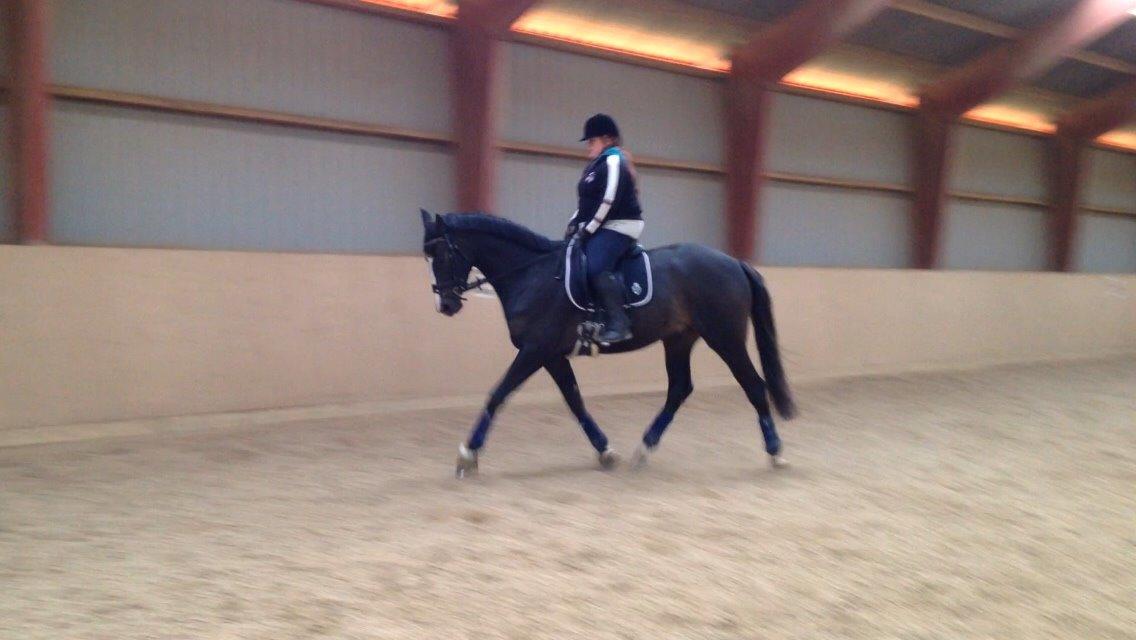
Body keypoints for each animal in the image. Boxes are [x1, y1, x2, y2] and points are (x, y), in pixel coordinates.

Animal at [422, 210, 795, 475]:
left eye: (441, 255)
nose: (445, 304)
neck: (533, 275)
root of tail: (734, 262)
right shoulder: (552, 356)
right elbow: (575, 401)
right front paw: (605, 451)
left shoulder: (534, 350)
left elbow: (498, 394)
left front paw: (467, 454)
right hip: (678, 339)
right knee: (679, 388)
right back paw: (643, 449)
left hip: (725, 338)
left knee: (753, 385)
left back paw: (776, 452)